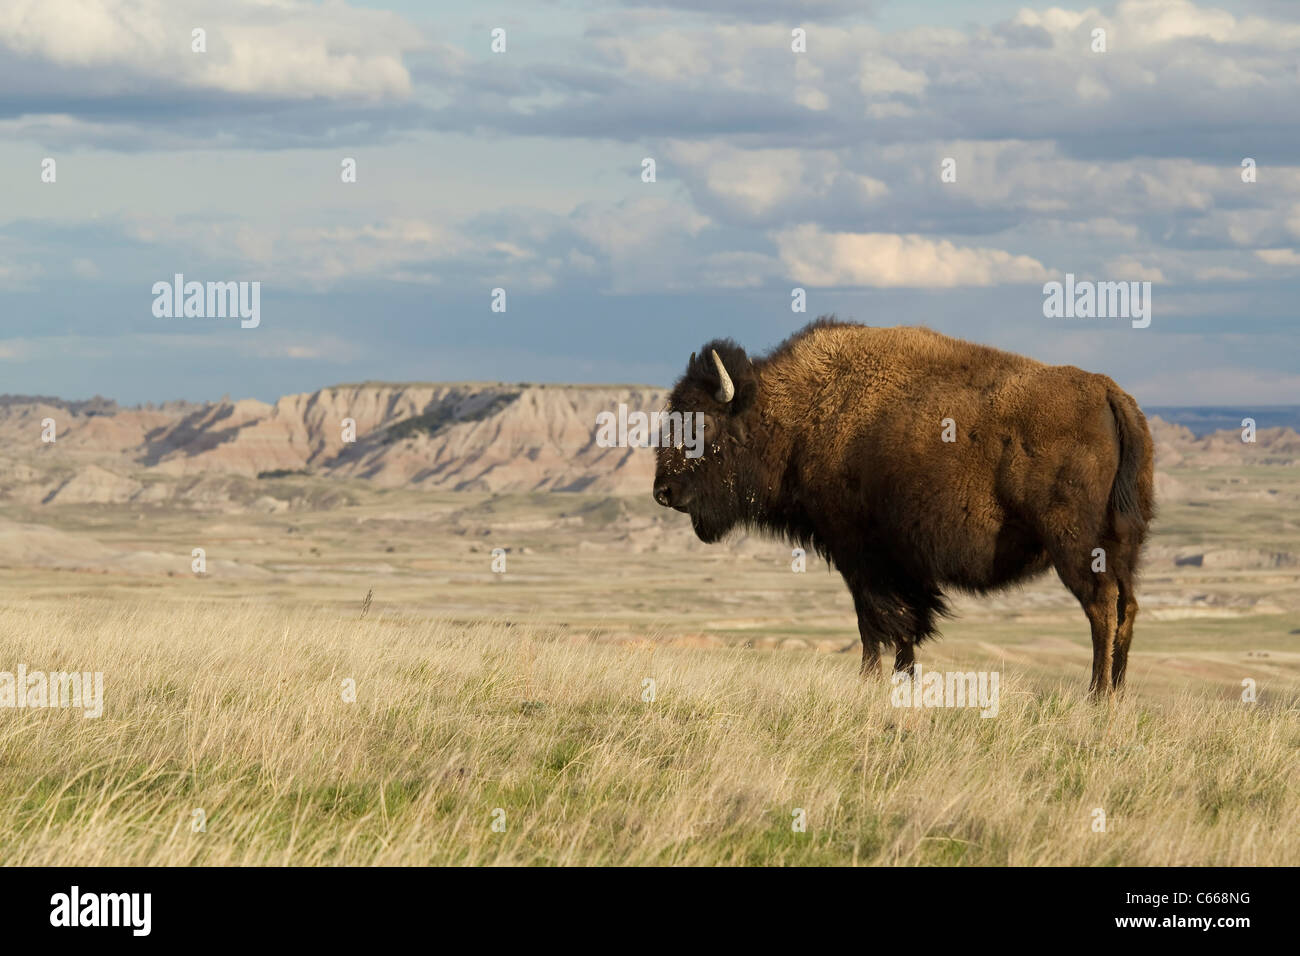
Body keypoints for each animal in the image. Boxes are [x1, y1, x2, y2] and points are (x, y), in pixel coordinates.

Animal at [655, 317, 1154, 697]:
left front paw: (870, 681)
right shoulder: (901, 564)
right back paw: (1118, 693)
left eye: (703, 424)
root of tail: (1108, 393)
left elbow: (875, 621)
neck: (799, 412)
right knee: (1126, 608)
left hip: (1076, 545)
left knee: (1101, 606)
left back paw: (1096, 694)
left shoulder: (859, 554)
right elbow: (906, 625)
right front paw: (902, 681)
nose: (663, 491)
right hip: (1125, 546)